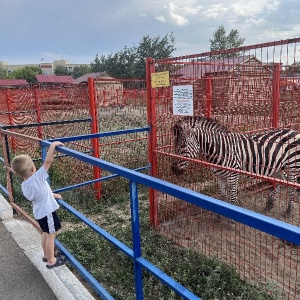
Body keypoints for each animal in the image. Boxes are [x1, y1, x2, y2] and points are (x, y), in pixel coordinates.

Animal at [171, 115, 300, 218]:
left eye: (182, 146)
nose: (173, 170)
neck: (221, 149)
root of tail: (293, 130)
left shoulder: (233, 176)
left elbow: (232, 198)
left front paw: (231, 220)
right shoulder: (220, 177)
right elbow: (221, 197)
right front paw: (219, 216)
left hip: (293, 165)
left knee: (292, 185)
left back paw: (288, 210)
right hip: (278, 166)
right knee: (282, 181)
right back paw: (269, 204)